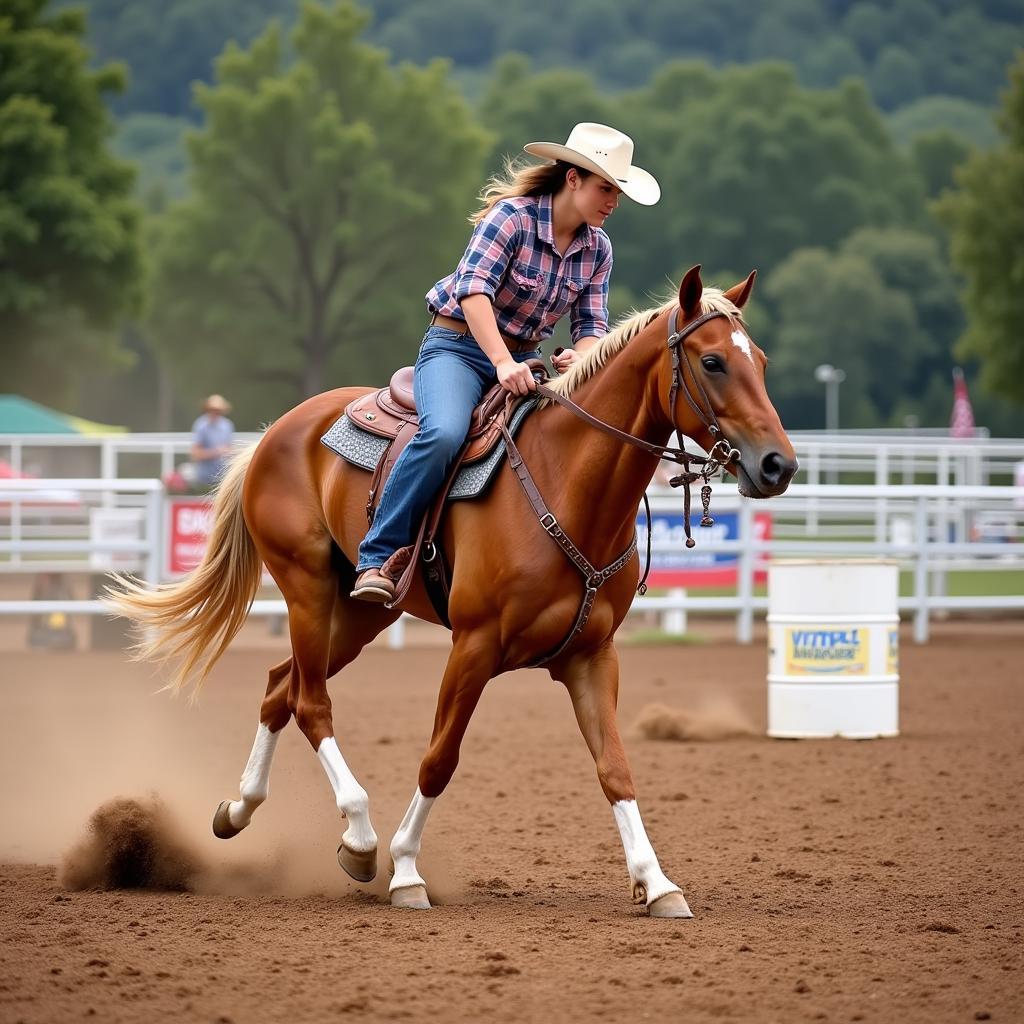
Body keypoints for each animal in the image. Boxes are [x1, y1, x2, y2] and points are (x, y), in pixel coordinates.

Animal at [112, 264, 798, 921]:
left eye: (762, 361)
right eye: (713, 361)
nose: (778, 465)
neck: (565, 483)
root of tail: (278, 431)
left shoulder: (592, 656)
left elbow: (616, 769)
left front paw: (657, 885)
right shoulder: (474, 645)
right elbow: (439, 758)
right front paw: (406, 872)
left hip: (359, 614)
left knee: (281, 687)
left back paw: (238, 810)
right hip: (305, 588)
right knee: (310, 702)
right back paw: (360, 838)